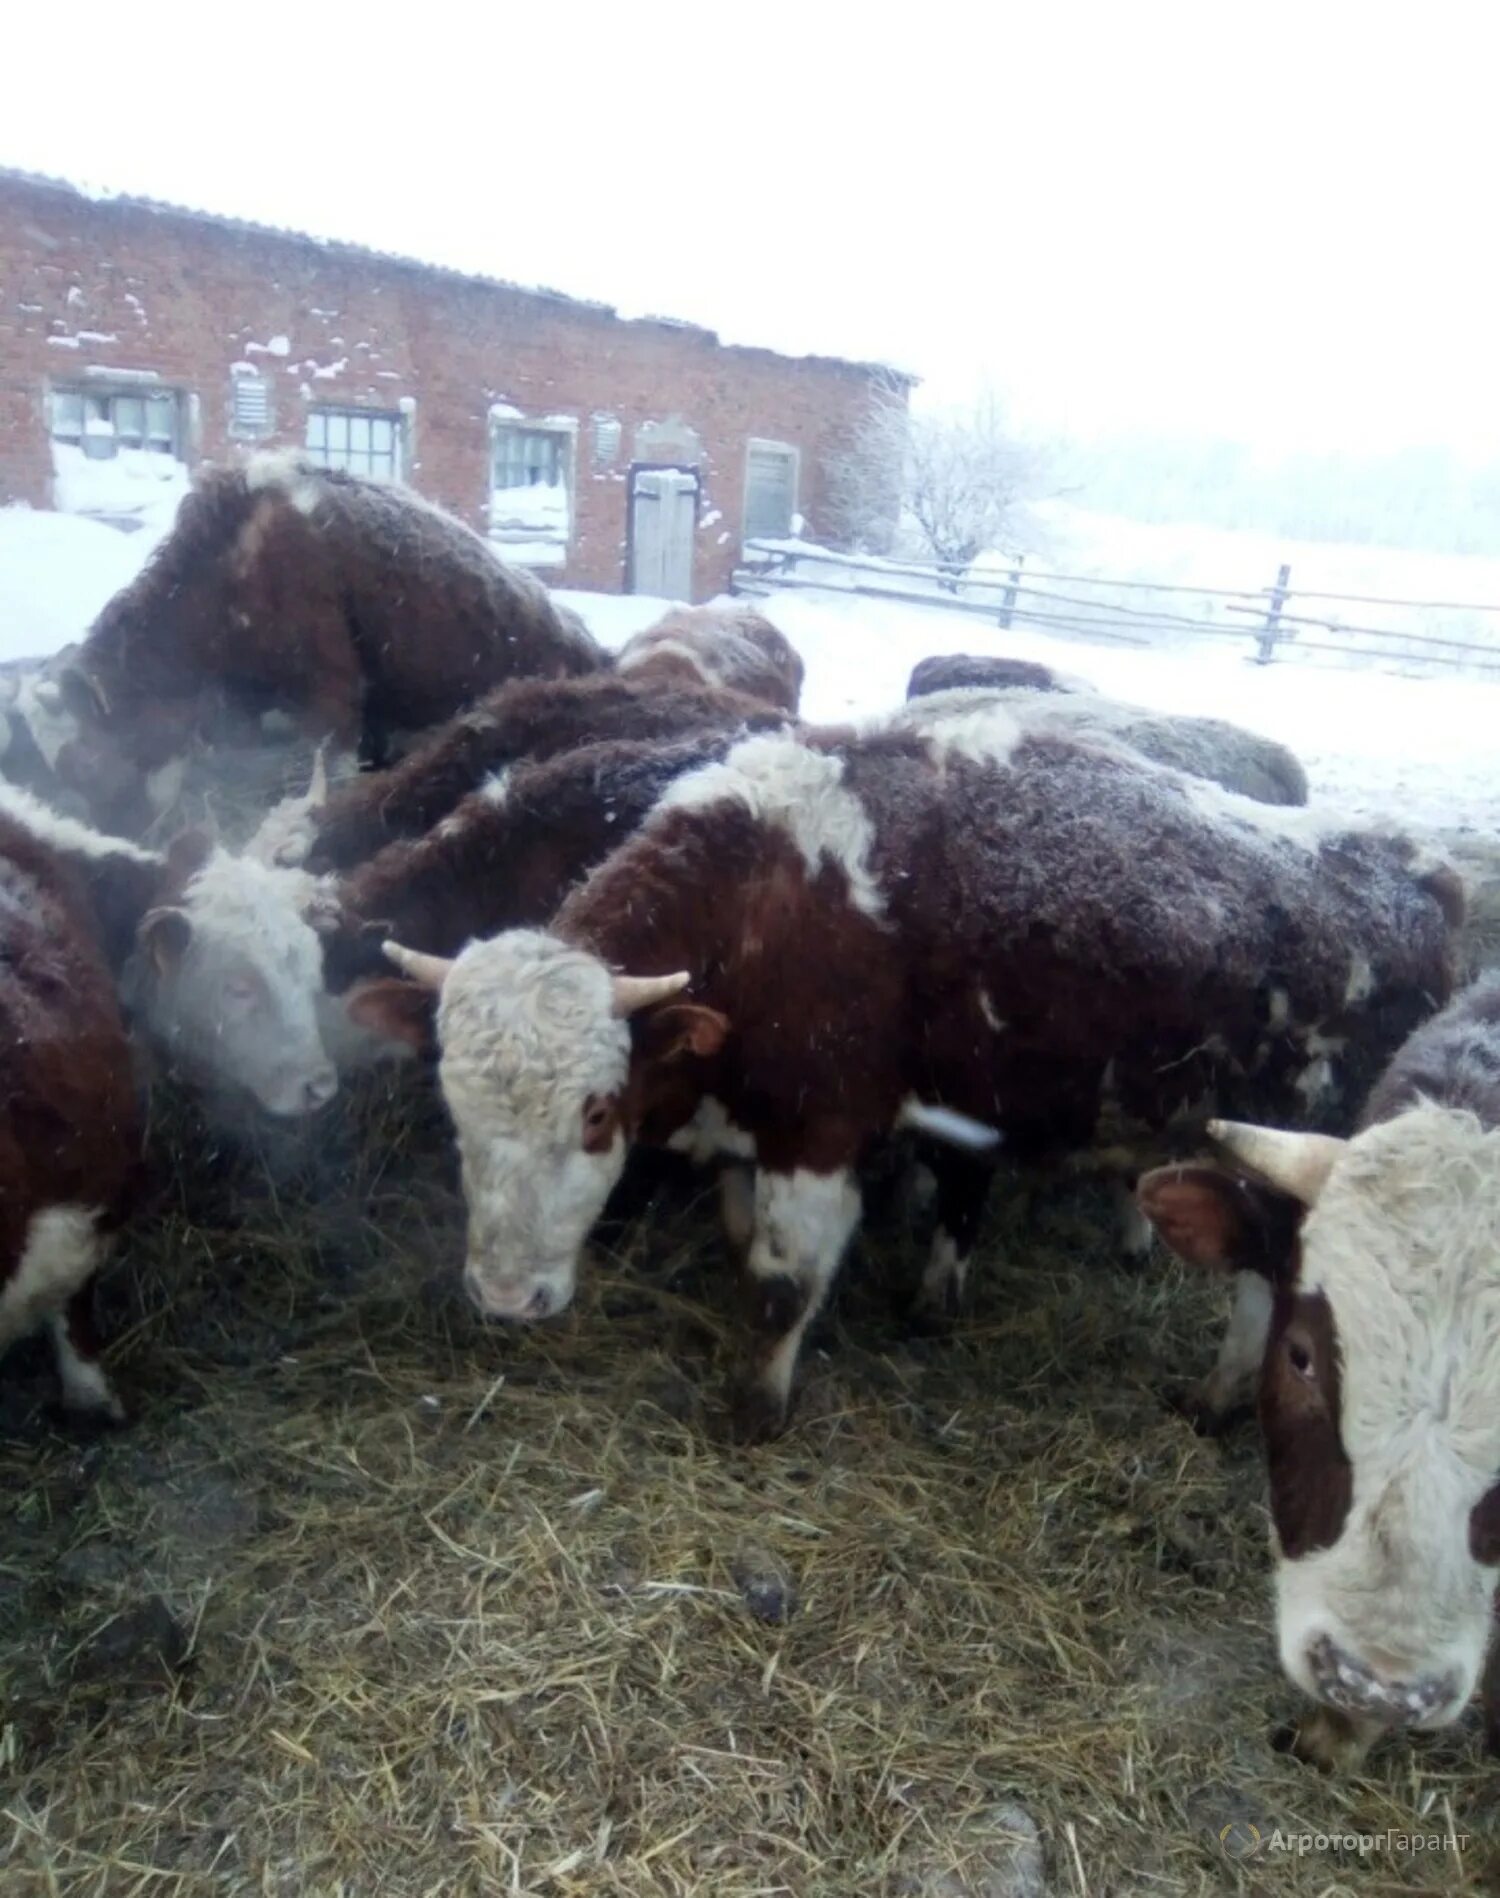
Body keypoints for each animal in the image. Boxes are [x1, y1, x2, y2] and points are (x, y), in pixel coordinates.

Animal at [358, 709, 1465, 1434]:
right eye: (455, 1112)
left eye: (596, 1114)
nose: (506, 1297)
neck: (770, 906)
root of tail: (1413, 866)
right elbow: (743, 1238)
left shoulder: (822, 1133)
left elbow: (780, 1285)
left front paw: (756, 1411)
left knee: (1270, 1286)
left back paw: (1220, 1396)